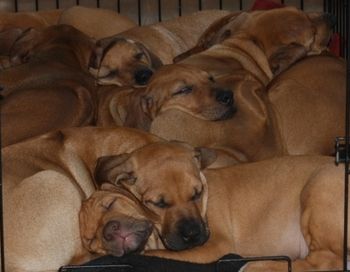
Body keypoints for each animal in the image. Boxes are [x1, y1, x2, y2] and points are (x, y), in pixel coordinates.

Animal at [145, 154, 348, 270]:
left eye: (197, 194)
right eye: (159, 204)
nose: (192, 233)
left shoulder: (216, 245)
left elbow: (157, 254)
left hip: (318, 184)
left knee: (325, 261)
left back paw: (260, 266)